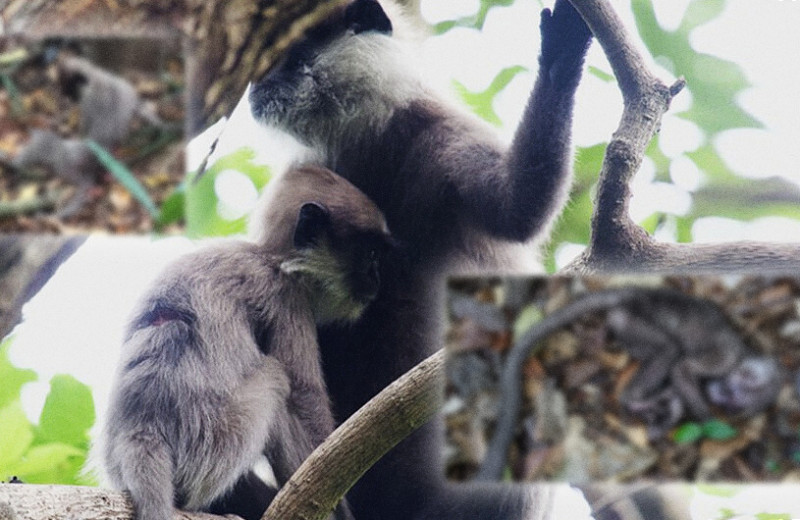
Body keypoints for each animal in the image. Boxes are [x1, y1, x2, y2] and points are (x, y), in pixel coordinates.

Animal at [104, 168, 392, 520]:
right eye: (371, 254)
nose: (376, 279)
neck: (268, 256)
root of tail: (142, 431)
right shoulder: (287, 297)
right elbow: (304, 396)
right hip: (218, 443)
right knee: (276, 379)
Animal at [472, 286, 784, 482]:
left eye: (733, 405)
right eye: (732, 393)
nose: (721, 400)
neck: (742, 353)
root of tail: (636, 293)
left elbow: (676, 390)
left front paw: (668, 414)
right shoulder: (722, 359)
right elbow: (682, 370)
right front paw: (710, 423)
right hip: (631, 319)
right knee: (669, 350)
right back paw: (633, 400)